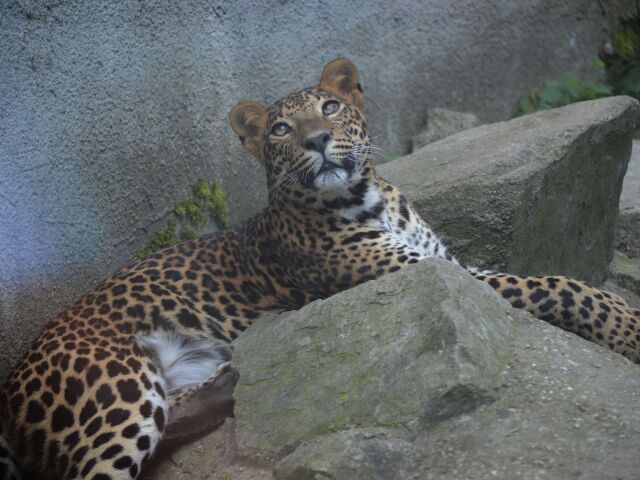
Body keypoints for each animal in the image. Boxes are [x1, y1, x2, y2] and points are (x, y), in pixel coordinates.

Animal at [1, 57, 639, 480]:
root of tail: (10, 380)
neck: (369, 197)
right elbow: (560, 284)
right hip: (119, 392)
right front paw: (628, 329)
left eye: (330, 107)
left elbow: (549, 278)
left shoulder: (439, 262)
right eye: (282, 129)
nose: (317, 139)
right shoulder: (420, 272)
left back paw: (232, 382)